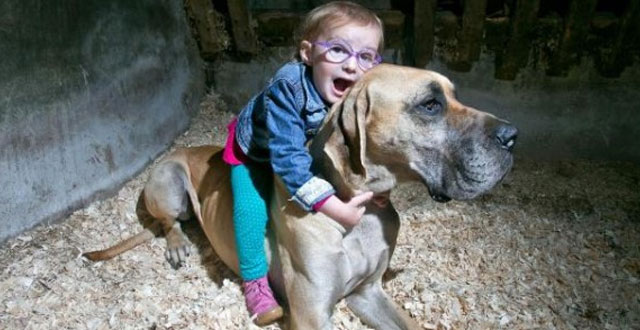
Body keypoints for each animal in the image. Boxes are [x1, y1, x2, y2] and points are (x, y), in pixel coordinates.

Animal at [84, 63, 516, 328]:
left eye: (452, 96)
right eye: (430, 105)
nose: (513, 135)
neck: (360, 209)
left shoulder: (367, 293)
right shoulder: (312, 315)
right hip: (169, 179)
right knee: (169, 221)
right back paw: (176, 243)